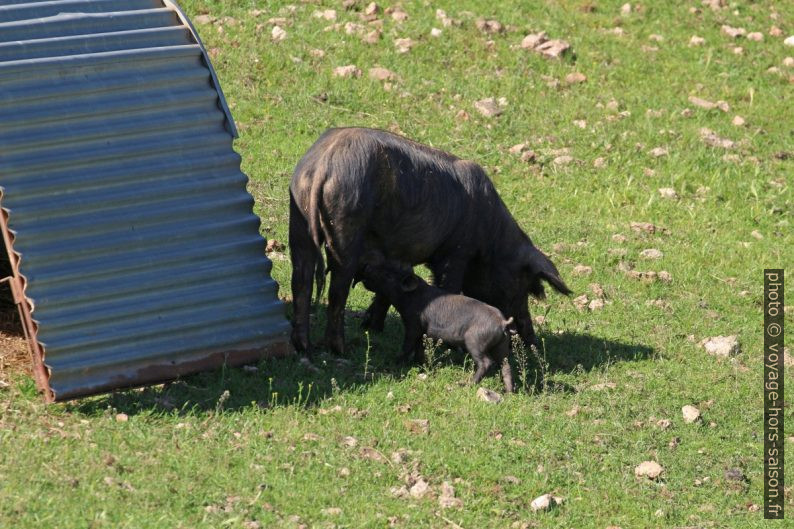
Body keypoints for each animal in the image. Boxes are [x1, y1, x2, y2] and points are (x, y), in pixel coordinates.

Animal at [288, 127, 568, 356]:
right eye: (521, 284)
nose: (531, 341)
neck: (492, 238)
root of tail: (323, 164)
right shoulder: (456, 251)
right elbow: (448, 286)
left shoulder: (395, 257)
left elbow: (387, 290)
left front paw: (372, 327)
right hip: (346, 223)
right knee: (338, 289)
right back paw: (340, 350)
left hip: (299, 218)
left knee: (301, 280)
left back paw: (304, 346)